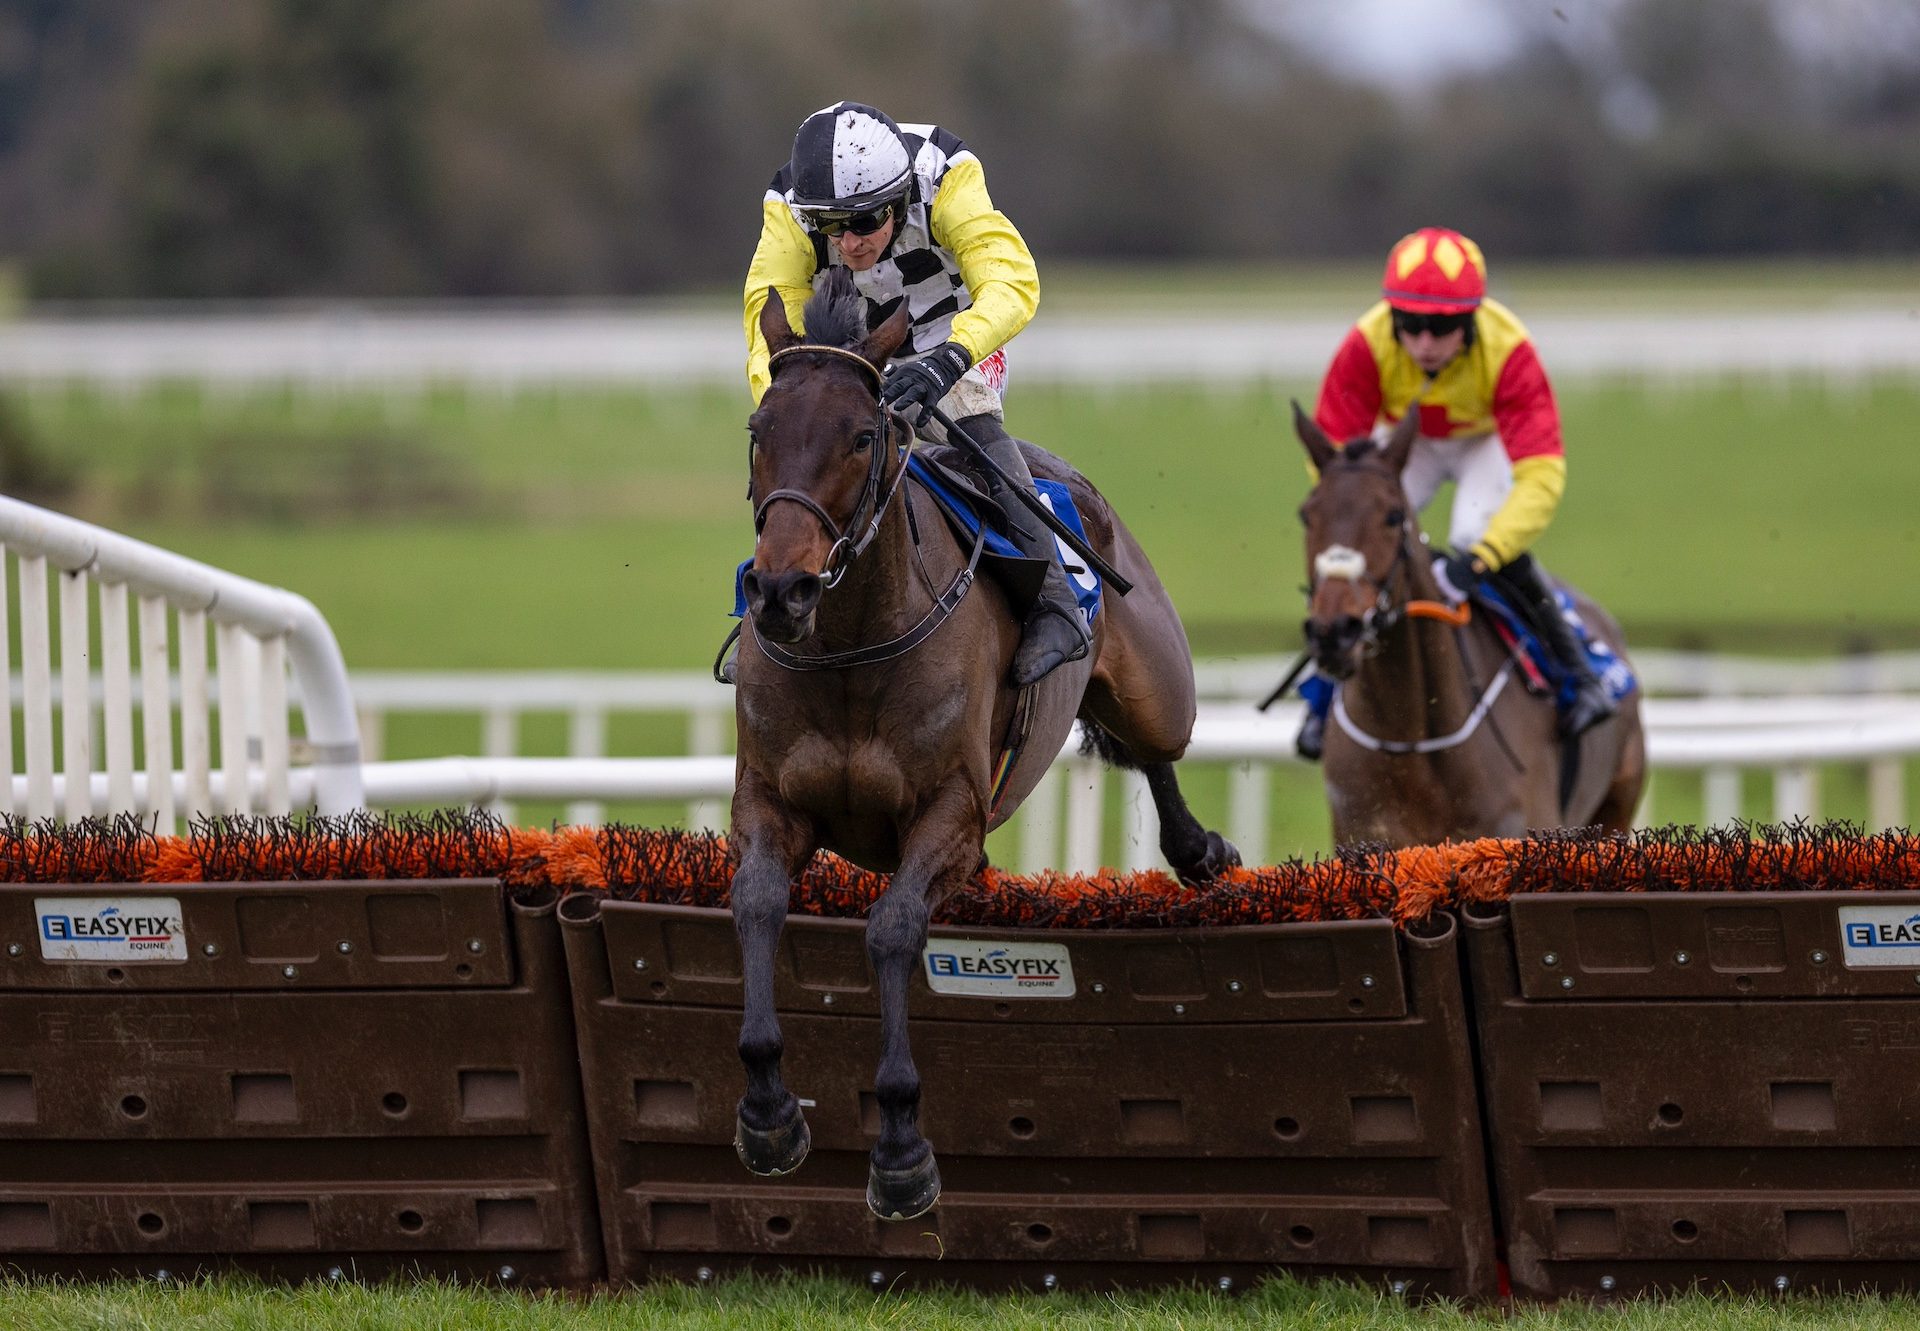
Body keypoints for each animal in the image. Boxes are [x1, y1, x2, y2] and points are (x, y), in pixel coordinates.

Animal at [725, 274, 1236, 1221]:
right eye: (758, 431)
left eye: (862, 434)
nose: (781, 591)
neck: (851, 645)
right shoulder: (768, 802)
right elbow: (758, 903)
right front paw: (769, 1109)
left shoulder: (953, 818)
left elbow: (893, 931)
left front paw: (900, 1149)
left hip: (1161, 688)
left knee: (1156, 745)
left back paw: (1199, 849)